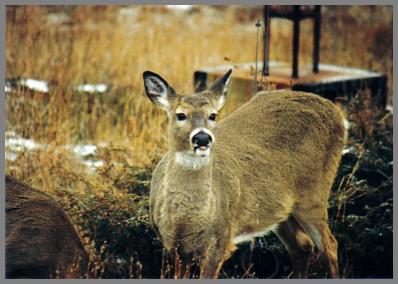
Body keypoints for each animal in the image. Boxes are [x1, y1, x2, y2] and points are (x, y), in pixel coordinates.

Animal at [143, 70, 346, 278]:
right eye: (180, 115)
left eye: (213, 115)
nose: (203, 138)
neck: (185, 221)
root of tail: (337, 113)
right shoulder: (174, 247)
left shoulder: (220, 242)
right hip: (281, 211)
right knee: (303, 247)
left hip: (314, 196)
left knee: (330, 246)